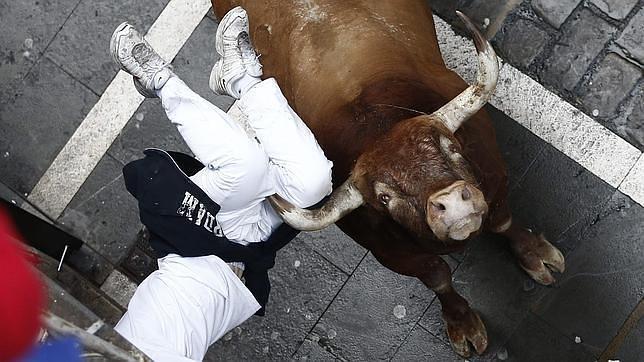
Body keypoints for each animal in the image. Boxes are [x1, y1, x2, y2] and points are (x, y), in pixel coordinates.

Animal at [214, 0, 568, 356]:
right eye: (385, 198)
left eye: (450, 146)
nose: (452, 202)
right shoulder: (389, 252)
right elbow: (438, 276)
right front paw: (461, 321)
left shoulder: (494, 181)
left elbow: (501, 221)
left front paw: (535, 254)